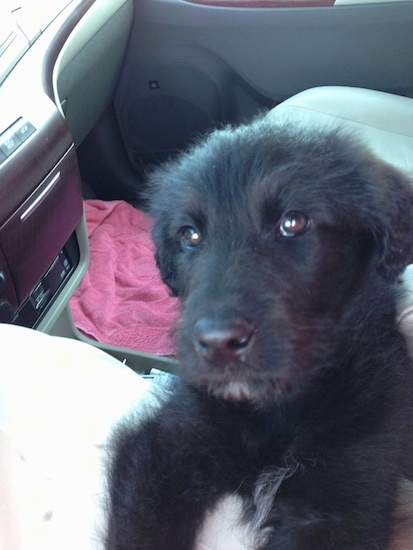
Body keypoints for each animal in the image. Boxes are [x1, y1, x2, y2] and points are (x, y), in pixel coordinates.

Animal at [104, 118, 413, 548]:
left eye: (293, 222)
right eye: (190, 235)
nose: (218, 343)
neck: (276, 410)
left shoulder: (347, 496)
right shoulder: (165, 447)